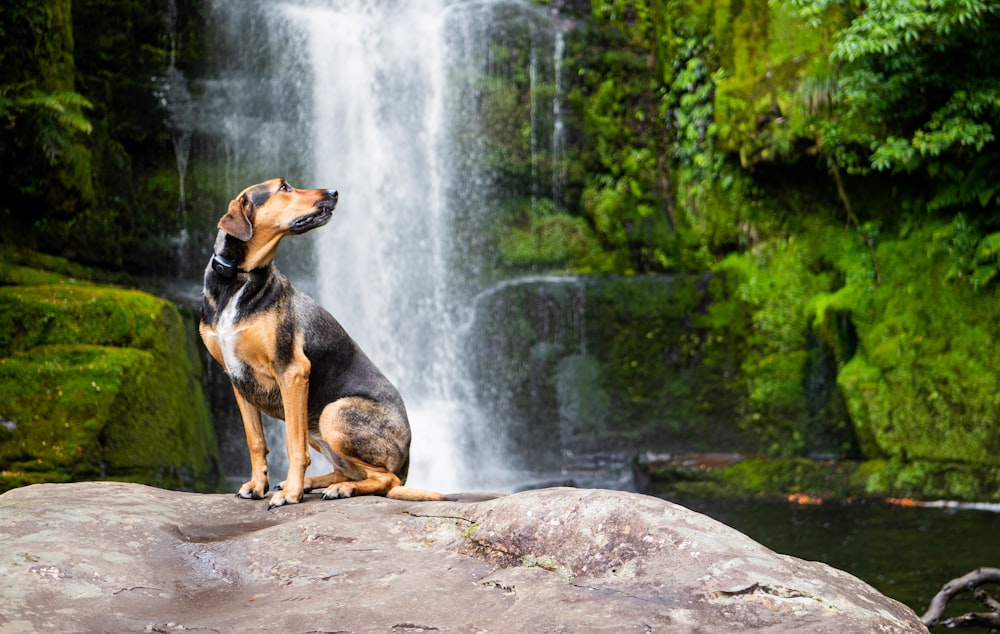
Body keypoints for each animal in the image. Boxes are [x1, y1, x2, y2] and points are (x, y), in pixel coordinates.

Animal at [199, 179, 442, 508]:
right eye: (284, 188)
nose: (334, 192)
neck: (238, 279)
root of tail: (407, 463)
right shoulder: (237, 379)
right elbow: (256, 441)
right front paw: (258, 486)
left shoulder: (292, 371)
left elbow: (293, 446)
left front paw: (291, 494)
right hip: (316, 421)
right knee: (348, 470)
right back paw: (317, 483)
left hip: (332, 413)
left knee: (383, 479)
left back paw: (337, 489)